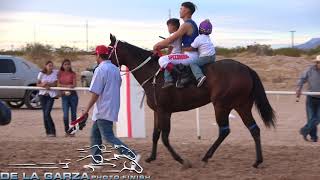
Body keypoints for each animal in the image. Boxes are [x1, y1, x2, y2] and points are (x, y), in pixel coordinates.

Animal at [107, 34, 276, 169]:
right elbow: (155, 134)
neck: (154, 74)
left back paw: (206, 156)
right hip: (242, 105)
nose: (100, 64)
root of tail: (247, 68)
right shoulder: (157, 111)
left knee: (225, 130)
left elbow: (165, 138)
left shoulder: (165, 111)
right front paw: (151, 157)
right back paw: (257, 161)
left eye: (106, 51)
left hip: (221, 105)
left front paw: (181, 160)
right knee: (254, 129)